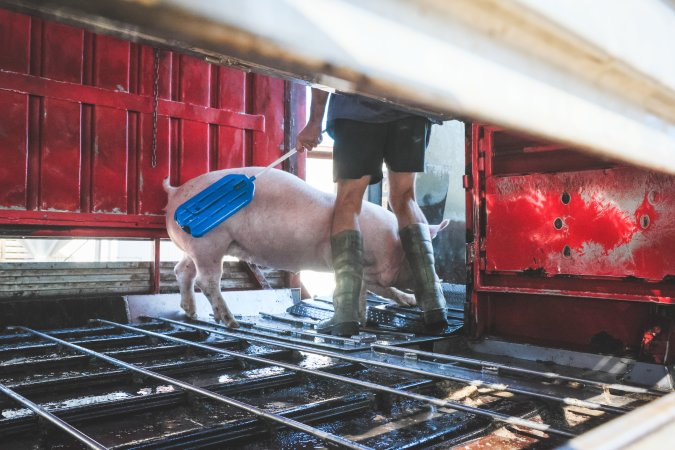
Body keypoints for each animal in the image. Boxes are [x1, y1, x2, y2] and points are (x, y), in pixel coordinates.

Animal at [164, 167, 448, 328]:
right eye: (409, 259)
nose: (441, 280)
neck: (390, 244)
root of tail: (175, 191)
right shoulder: (371, 269)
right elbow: (383, 290)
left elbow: (363, 294)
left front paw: (363, 318)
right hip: (211, 243)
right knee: (207, 280)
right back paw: (231, 322)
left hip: (196, 247)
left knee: (182, 270)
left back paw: (191, 313)